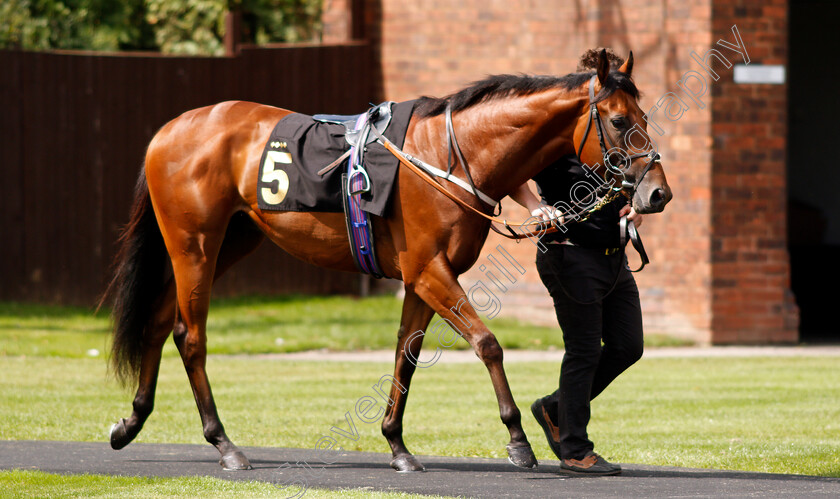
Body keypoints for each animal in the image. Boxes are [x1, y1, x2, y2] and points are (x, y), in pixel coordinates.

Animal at [103, 49, 668, 472]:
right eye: (620, 121)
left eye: (645, 118)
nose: (658, 193)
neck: (449, 155)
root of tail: (170, 130)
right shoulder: (430, 270)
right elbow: (487, 344)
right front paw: (517, 440)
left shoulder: (420, 279)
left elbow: (406, 355)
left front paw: (397, 445)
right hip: (194, 244)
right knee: (189, 335)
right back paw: (224, 443)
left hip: (231, 241)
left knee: (158, 321)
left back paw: (132, 422)